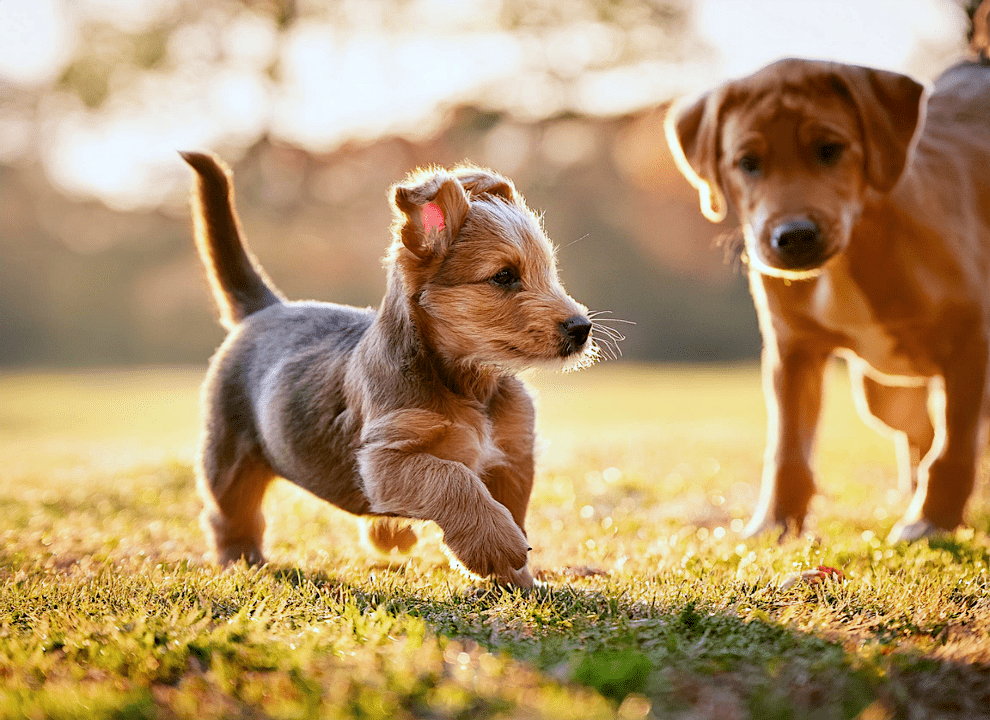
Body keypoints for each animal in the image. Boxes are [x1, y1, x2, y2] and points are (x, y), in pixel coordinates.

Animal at [179, 152, 600, 584]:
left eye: (548, 271)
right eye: (504, 276)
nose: (581, 328)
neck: (470, 382)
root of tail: (264, 308)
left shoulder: (512, 456)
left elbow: (512, 511)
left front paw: (516, 578)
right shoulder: (385, 461)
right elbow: (453, 479)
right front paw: (496, 545)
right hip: (229, 457)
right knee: (229, 514)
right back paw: (241, 558)